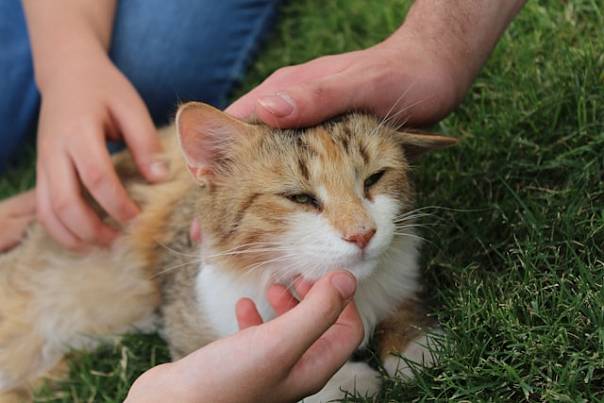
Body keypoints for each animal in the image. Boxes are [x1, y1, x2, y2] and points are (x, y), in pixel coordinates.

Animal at [0, 102, 452, 402]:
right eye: (300, 198)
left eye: (374, 179)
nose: (362, 234)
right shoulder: (192, 321)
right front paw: (346, 381)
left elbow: (402, 304)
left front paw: (414, 345)